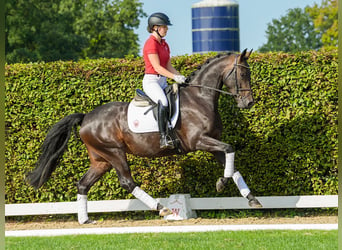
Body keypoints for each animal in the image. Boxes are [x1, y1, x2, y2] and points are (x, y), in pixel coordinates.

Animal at [26, 49, 262, 225]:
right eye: (243, 74)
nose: (248, 103)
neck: (200, 98)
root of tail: (86, 118)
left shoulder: (212, 145)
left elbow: (233, 165)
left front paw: (251, 199)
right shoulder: (199, 142)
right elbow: (230, 149)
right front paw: (221, 183)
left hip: (101, 159)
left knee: (83, 184)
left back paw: (85, 220)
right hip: (114, 152)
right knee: (127, 182)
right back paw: (162, 208)